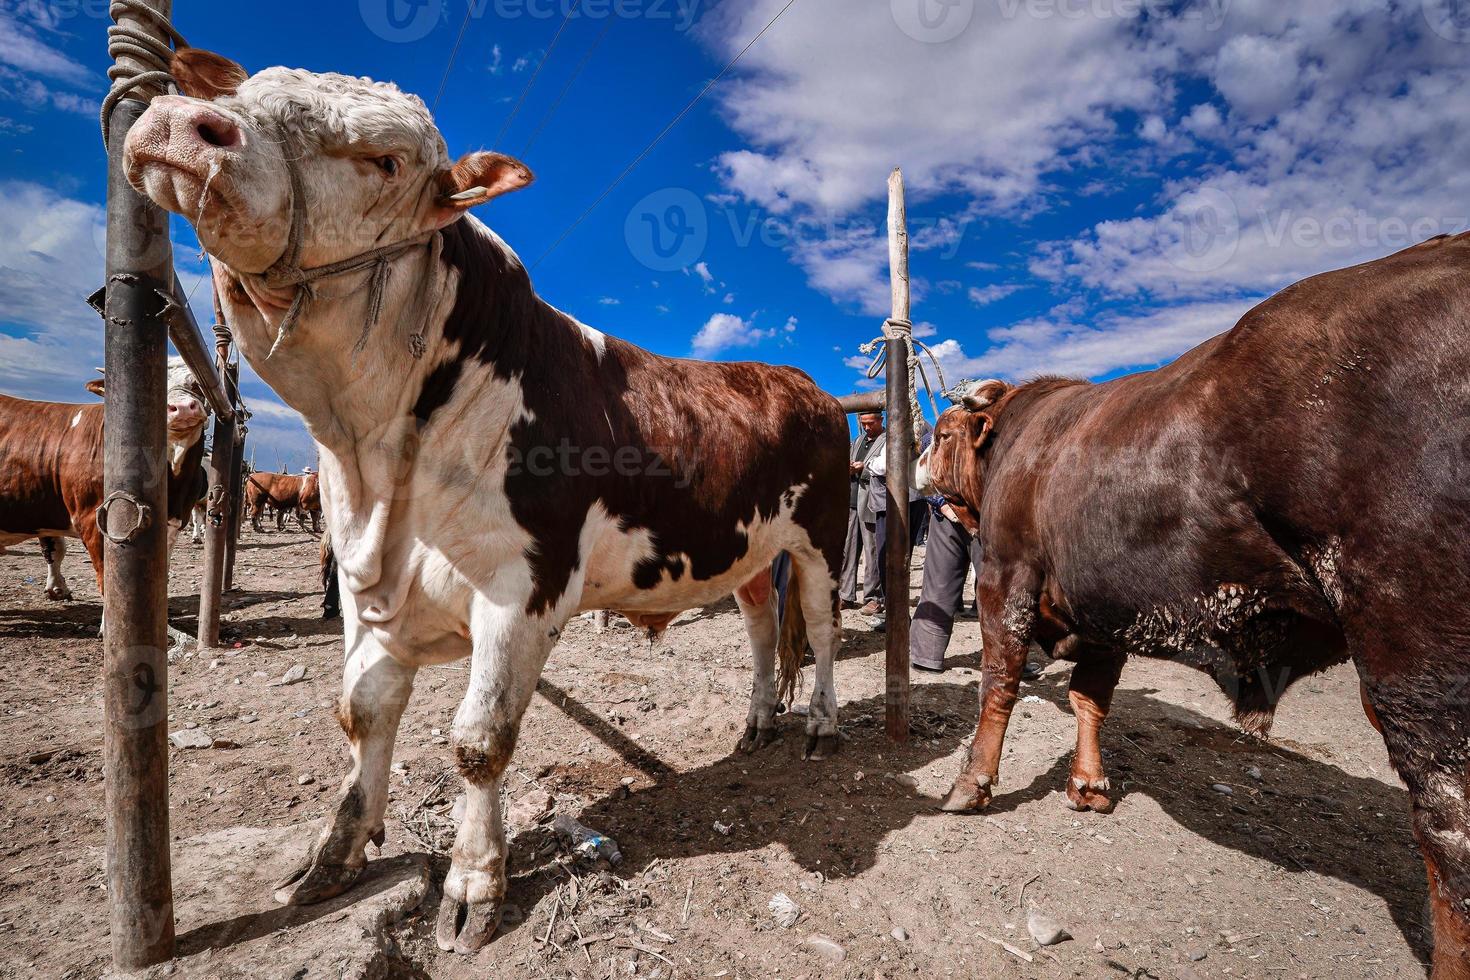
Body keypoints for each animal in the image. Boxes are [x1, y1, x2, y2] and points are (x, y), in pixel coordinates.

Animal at [126, 49, 852, 952]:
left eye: (386, 160)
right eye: (242, 94)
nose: (182, 124)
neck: (378, 467)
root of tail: (800, 381)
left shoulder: (520, 591)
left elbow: (478, 742)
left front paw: (475, 884)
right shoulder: (366, 590)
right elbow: (361, 714)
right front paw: (335, 854)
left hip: (824, 539)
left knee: (821, 630)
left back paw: (821, 726)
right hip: (749, 548)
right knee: (759, 628)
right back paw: (757, 723)